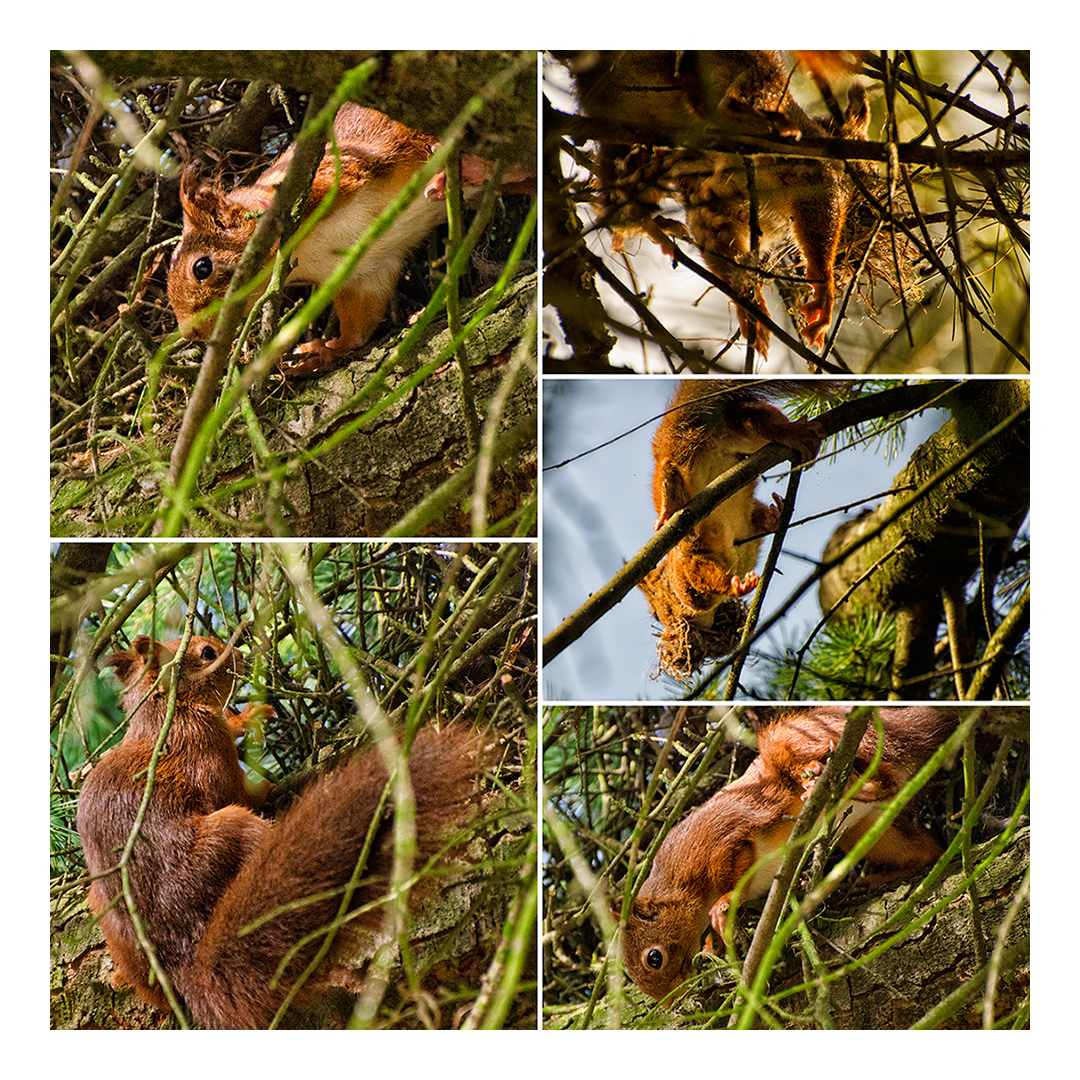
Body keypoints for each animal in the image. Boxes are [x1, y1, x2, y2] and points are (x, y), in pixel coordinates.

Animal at [76, 630, 481, 1028]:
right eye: (207, 653)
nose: (242, 655)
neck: (164, 713)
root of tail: (179, 955)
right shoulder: (202, 745)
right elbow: (232, 791)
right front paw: (264, 780)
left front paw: (245, 718)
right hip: (222, 838)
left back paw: (124, 979)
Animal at [168, 103, 531, 378]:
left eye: (202, 267)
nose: (191, 333)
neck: (306, 255)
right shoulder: (363, 274)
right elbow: (359, 328)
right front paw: (322, 351)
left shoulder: (335, 168)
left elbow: (323, 188)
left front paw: (272, 213)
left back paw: (467, 168)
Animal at [622, 708, 959, 1002]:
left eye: (654, 957)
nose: (670, 1002)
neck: (677, 882)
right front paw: (711, 945)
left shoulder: (726, 842)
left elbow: (736, 875)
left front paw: (721, 909)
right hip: (870, 831)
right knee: (928, 850)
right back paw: (878, 877)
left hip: (811, 738)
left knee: (880, 774)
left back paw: (835, 781)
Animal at [635, 382, 820, 673]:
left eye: (656, 613)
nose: (671, 629)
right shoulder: (747, 528)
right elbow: (758, 520)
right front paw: (775, 517)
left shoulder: (688, 573)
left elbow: (706, 581)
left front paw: (736, 587)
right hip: (744, 430)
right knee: (762, 424)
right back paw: (802, 435)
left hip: (680, 461)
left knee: (666, 470)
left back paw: (669, 506)